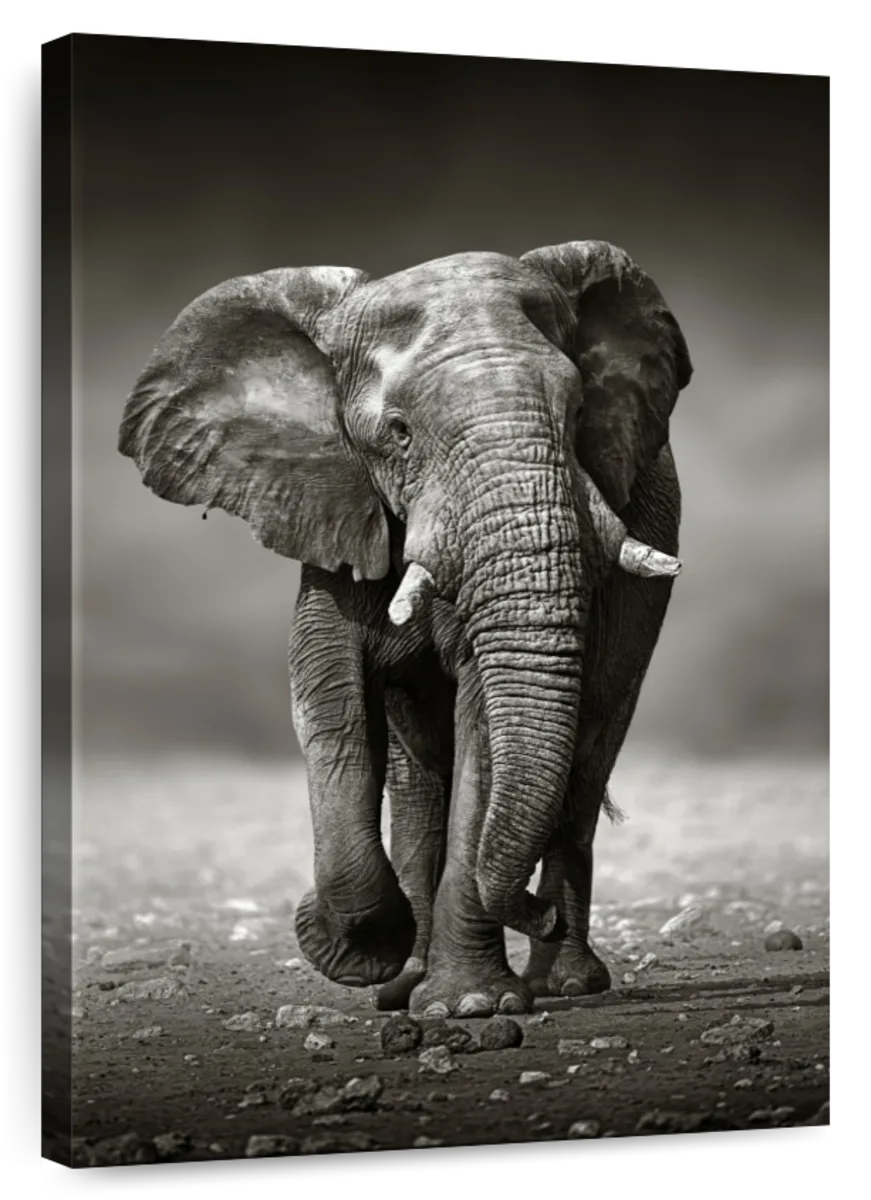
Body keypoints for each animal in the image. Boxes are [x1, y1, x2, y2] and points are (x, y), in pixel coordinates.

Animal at [118, 241, 692, 1018]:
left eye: (577, 415)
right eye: (398, 433)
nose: (537, 913)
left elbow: (485, 728)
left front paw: (469, 1007)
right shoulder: (333, 509)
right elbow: (329, 702)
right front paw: (360, 954)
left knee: (586, 754)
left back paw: (563, 982)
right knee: (419, 780)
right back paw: (404, 983)